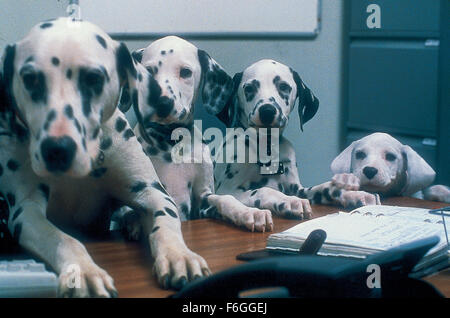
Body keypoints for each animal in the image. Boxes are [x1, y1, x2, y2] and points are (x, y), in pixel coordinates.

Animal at [0, 18, 210, 296]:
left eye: (93, 78)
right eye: (30, 79)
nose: (57, 149)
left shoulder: (153, 193)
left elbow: (167, 225)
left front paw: (180, 255)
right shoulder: (26, 211)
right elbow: (63, 239)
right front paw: (84, 272)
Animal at [118, 36, 278, 234]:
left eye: (185, 72)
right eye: (148, 71)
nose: (162, 103)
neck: (170, 141)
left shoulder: (203, 197)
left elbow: (225, 198)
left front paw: (249, 212)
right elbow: (132, 209)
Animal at [214, 59, 380, 229]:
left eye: (283, 87)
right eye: (249, 88)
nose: (267, 111)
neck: (267, 148)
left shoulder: (298, 189)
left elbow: (326, 188)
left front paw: (354, 194)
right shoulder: (228, 190)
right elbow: (262, 190)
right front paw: (288, 201)